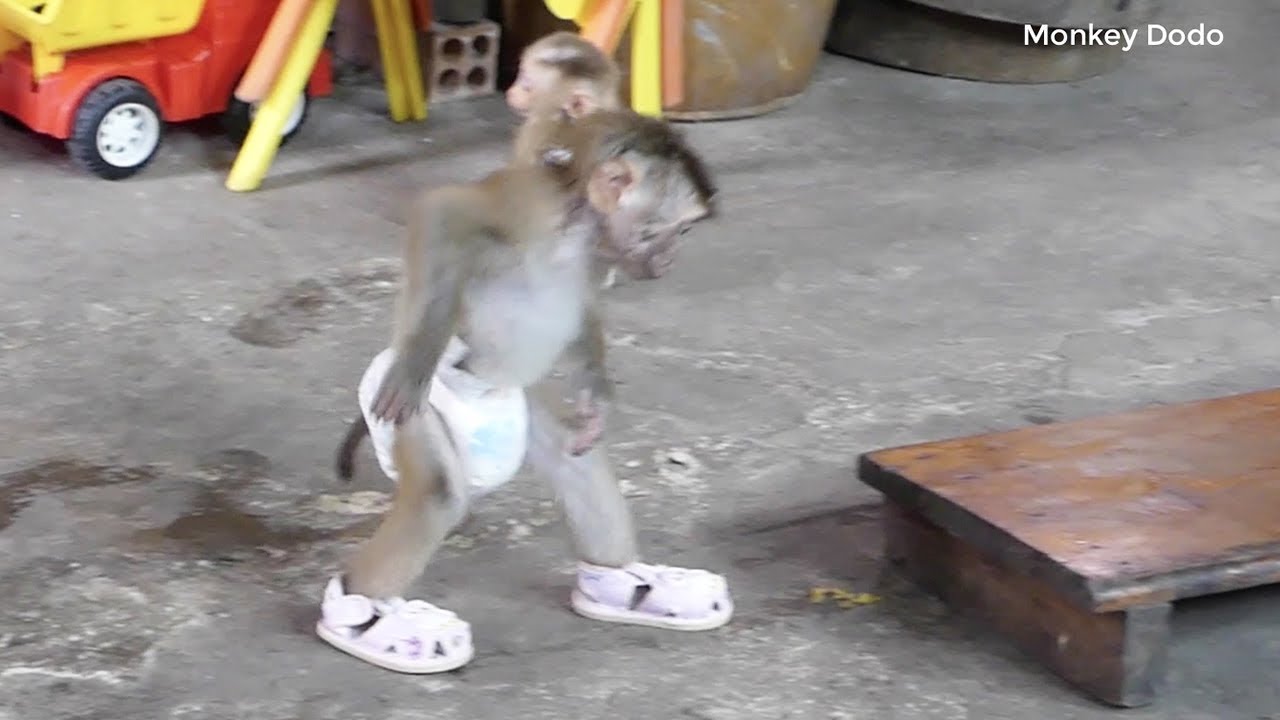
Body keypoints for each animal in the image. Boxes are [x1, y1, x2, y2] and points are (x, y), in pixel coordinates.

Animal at [315, 108, 732, 674]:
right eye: (678, 228)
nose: (672, 257)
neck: (581, 234)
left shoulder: (599, 259)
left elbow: (584, 314)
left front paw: (595, 391)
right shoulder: (531, 206)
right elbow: (443, 210)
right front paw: (422, 353)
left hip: (520, 406)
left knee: (576, 462)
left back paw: (621, 582)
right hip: (416, 415)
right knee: (438, 491)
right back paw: (364, 615)